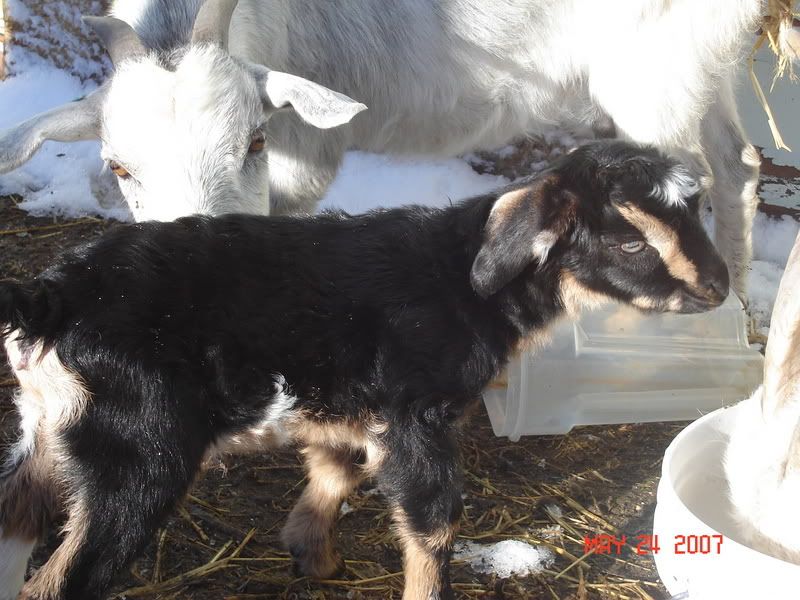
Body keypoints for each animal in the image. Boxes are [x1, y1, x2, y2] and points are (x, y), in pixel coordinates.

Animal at [0, 0, 762, 296]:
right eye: (118, 167)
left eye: (253, 140)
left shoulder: (301, 150)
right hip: (697, 69)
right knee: (737, 163)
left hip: (653, 79)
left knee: (681, 180)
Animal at [0, 141, 729, 600]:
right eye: (628, 241)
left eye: (696, 211)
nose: (719, 289)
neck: (458, 278)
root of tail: (50, 298)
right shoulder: (415, 416)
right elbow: (434, 520)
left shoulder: (347, 408)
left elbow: (335, 472)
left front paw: (314, 557)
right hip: (136, 451)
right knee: (63, 579)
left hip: (48, 435)